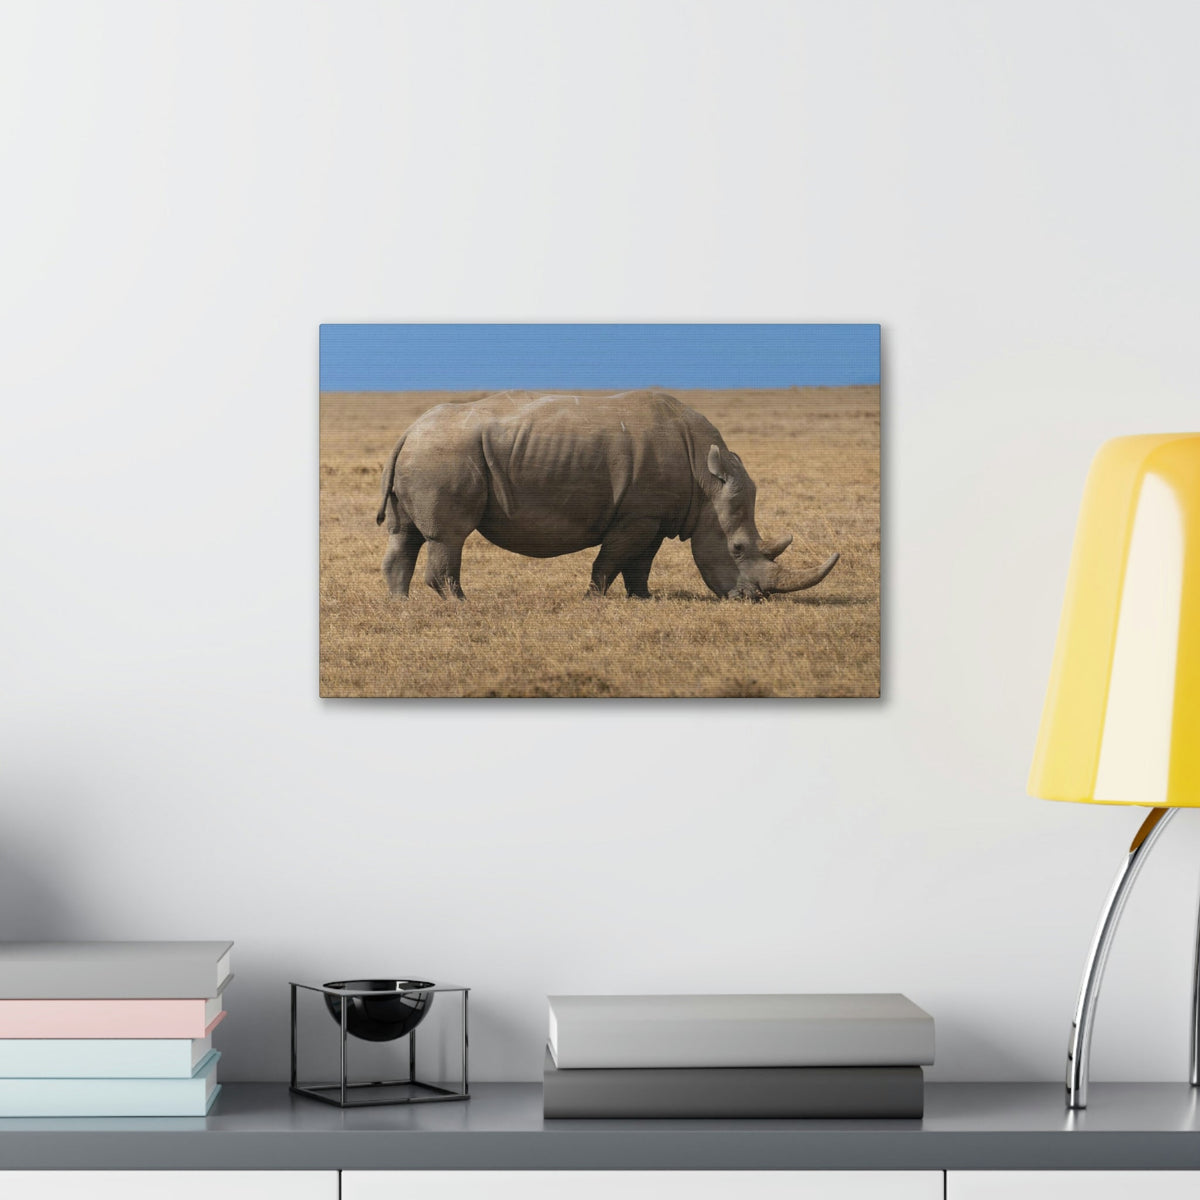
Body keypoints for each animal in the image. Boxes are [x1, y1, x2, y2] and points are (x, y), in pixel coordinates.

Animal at [375, 390, 839, 601]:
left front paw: (644, 599)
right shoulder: (637, 517)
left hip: (427, 452)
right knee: (449, 536)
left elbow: (639, 564)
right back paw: (461, 603)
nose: (752, 599)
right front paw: (593, 599)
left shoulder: (655, 518)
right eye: (738, 548)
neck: (706, 481)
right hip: (443, 454)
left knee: (405, 535)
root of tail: (408, 430)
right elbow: (610, 560)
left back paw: (402, 604)